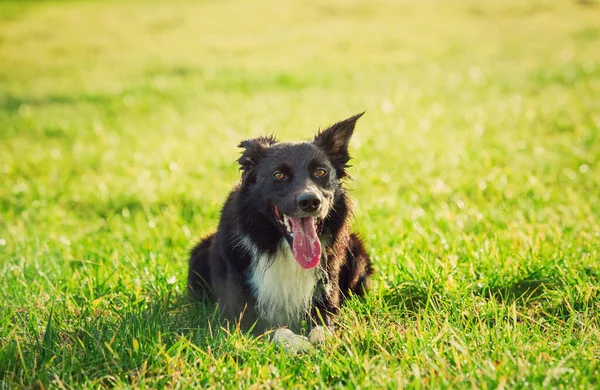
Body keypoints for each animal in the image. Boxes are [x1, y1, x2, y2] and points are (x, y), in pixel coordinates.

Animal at [190, 112, 372, 350]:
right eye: (279, 175)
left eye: (320, 172)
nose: (310, 201)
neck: (283, 248)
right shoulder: (237, 312)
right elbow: (271, 328)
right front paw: (295, 342)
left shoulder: (328, 293)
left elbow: (326, 320)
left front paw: (323, 337)